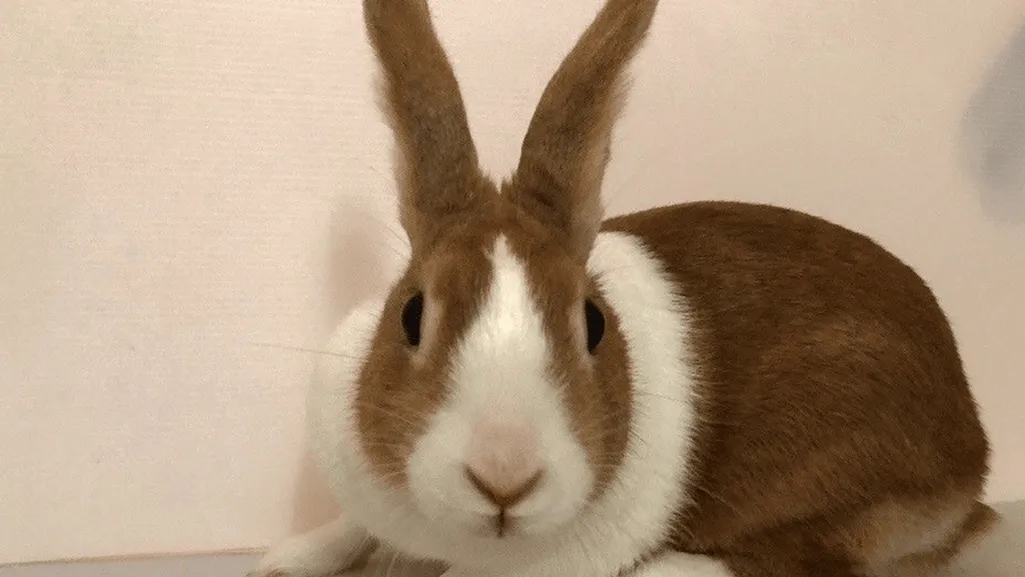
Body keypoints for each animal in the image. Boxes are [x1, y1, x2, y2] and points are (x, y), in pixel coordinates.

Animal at [249, 0, 998, 576]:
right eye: (410, 315)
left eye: (593, 322)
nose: (505, 475)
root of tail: (972, 457)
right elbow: (351, 526)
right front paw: (283, 560)